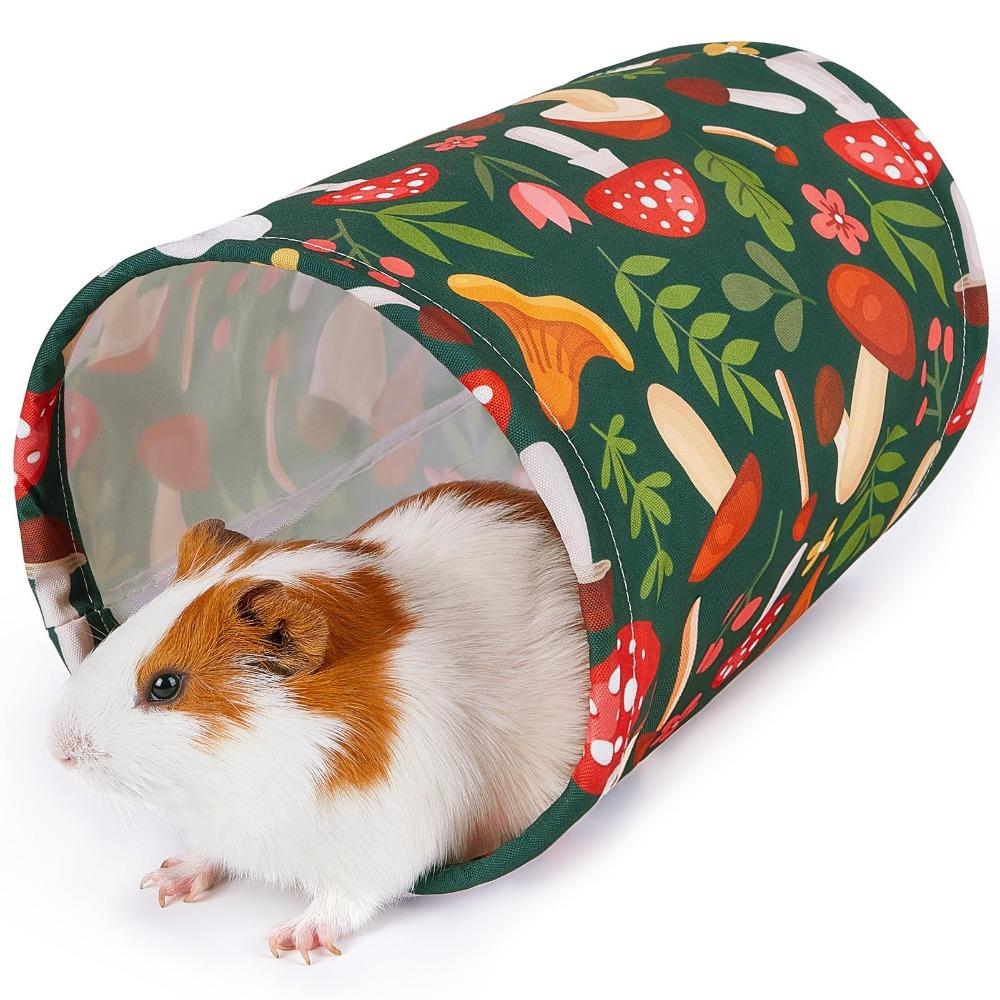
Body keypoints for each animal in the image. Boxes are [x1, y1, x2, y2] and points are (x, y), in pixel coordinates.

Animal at [47, 480, 589, 960]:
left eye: (165, 685)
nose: (58, 749)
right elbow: (210, 852)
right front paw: (161, 882)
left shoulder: (385, 839)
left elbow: (345, 900)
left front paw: (288, 942)